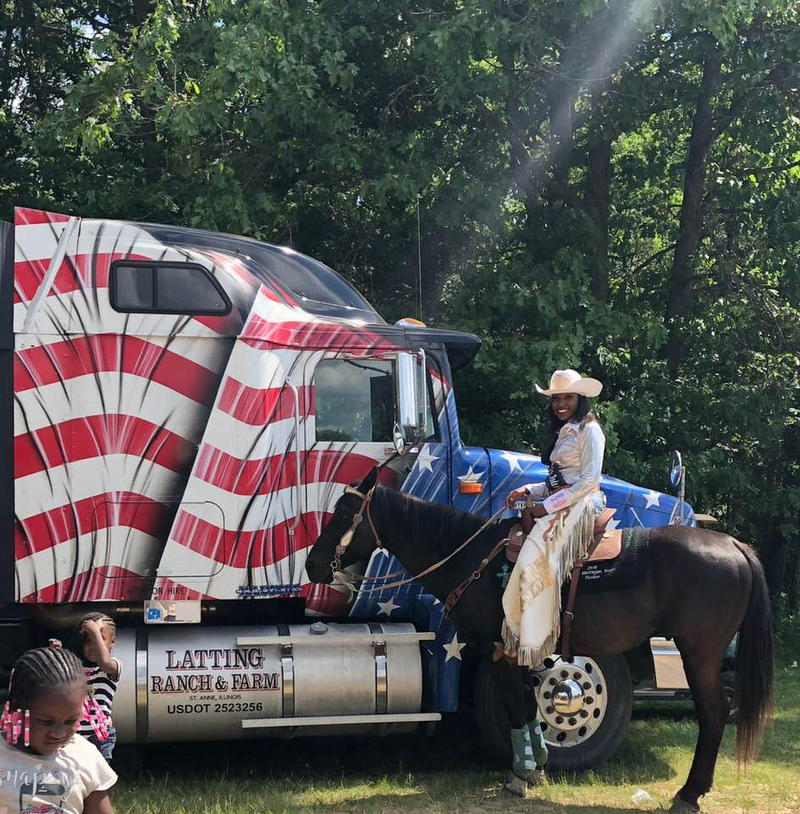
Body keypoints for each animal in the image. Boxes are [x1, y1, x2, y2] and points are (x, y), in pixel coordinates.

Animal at [304, 468, 772, 812]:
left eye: (344, 515)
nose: (311, 565)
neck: (472, 559)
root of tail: (734, 544)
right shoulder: (519, 651)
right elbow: (529, 706)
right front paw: (540, 764)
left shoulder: (498, 649)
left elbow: (517, 705)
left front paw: (521, 774)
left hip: (699, 653)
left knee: (713, 714)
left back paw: (689, 794)